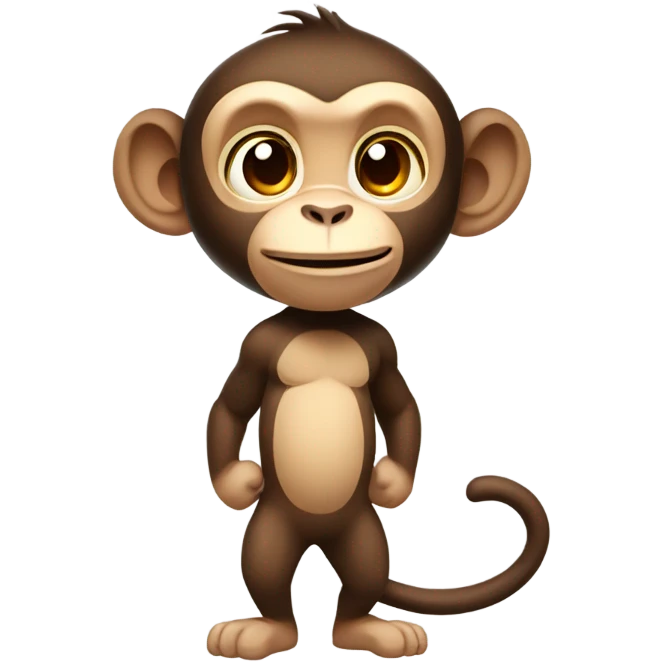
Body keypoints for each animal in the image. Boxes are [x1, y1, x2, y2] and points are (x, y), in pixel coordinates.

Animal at [111, 5, 548, 660]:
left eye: (384, 165)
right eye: (265, 164)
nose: (326, 212)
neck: (321, 325)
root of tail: (318, 538)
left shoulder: (379, 346)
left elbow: (400, 408)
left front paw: (392, 481)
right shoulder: (259, 346)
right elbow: (229, 409)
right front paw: (237, 482)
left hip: (360, 531)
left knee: (362, 574)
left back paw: (367, 630)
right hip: (273, 528)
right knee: (265, 568)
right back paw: (262, 630)